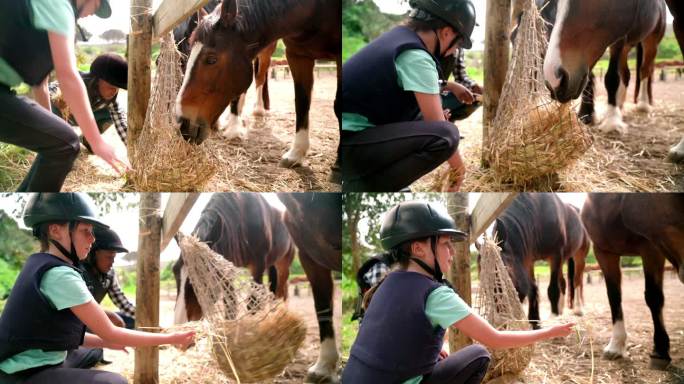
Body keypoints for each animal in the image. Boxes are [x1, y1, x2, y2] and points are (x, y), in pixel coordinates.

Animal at [171, 194, 294, 322]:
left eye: (203, 273)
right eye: (174, 270)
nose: (180, 322)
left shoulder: (258, 267)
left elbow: (253, 304)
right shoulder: (226, 269)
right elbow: (230, 305)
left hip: (283, 266)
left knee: (281, 292)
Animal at [174, 0, 340, 168]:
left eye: (211, 59)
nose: (183, 125)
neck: (313, 11)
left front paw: (234, 129)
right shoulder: (297, 55)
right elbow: (301, 102)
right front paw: (297, 152)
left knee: (260, 77)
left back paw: (257, 110)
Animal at [544, 0, 664, 135]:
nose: (554, 79)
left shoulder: (618, 40)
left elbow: (611, 78)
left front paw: (612, 120)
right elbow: (589, 77)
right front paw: (585, 114)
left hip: (651, 41)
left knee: (645, 70)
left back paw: (643, 104)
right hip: (627, 47)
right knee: (626, 74)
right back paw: (620, 104)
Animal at [584, 194, 684, 370]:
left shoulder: (651, 248)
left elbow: (653, 297)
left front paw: (660, 351)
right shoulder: (604, 252)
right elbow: (613, 296)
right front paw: (616, 346)